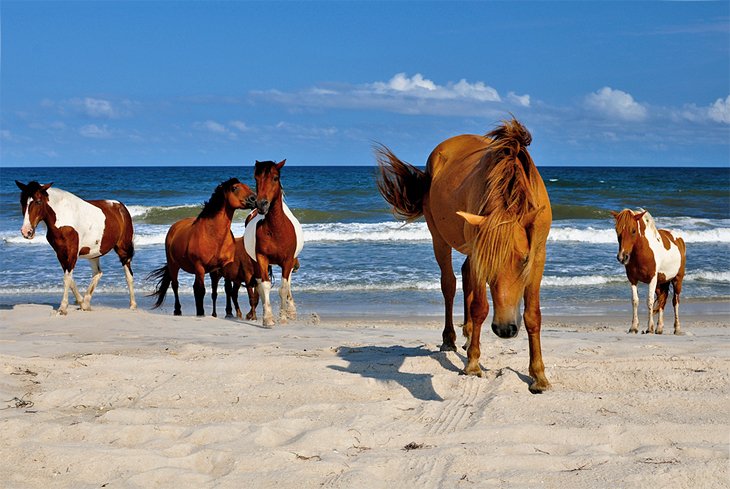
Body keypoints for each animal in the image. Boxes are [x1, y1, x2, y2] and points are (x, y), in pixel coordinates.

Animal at [14, 179, 136, 312]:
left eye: (38, 201)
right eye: (22, 201)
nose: (26, 231)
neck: (63, 218)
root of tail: (121, 206)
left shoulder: (72, 252)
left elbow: (67, 278)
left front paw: (62, 308)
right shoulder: (60, 253)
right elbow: (70, 278)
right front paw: (81, 303)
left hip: (122, 248)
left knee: (128, 275)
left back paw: (132, 305)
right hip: (93, 253)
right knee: (98, 273)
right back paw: (86, 302)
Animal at [146, 176, 255, 316]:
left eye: (247, 186)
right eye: (235, 188)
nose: (254, 199)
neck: (213, 234)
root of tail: (174, 227)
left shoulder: (222, 267)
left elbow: (225, 289)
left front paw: (228, 313)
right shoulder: (200, 266)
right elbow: (202, 290)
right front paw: (202, 312)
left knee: (194, 287)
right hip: (174, 264)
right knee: (175, 285)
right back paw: (178, 310)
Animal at [243, 160, 302, 326]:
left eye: (275, 178)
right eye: (256, 179)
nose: (261, 204)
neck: (276, 229)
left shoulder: (288, 260)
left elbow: (283, 288)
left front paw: (283, 316)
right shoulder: (261, 258)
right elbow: (265, 286)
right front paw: (268, 318)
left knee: (288, 283)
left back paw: (291, 310)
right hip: (255, 262)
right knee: (259, 284)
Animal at [376, 118, 552, 392]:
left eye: (524, 260)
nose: (504, 329)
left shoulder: (538, 255)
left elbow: (533, 316)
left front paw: (539, 376)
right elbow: (479, 306)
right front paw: (473, 364)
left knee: (466, 274)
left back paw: (469, 335)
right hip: (439, 239)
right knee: (449, 284)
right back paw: (450, 339)